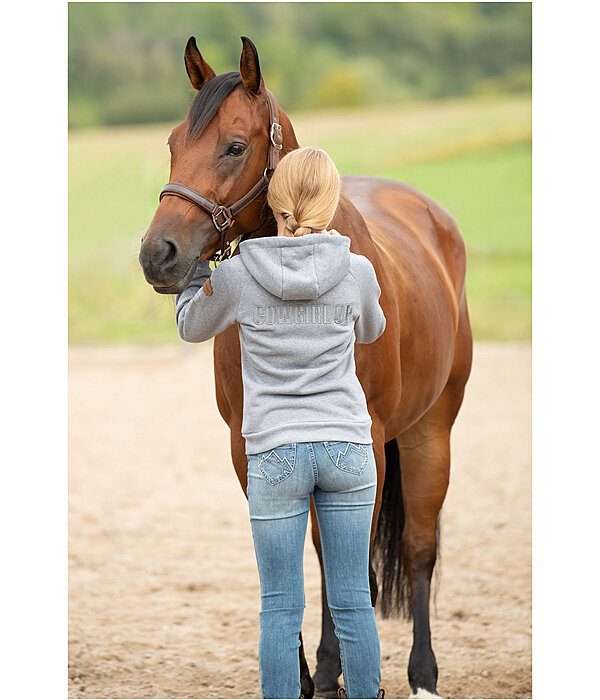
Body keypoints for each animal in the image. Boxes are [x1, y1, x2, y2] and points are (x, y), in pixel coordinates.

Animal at [139, 35, 474, 696]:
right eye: (171, 144)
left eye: (234, 146)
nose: (158, 254)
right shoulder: (249, 449)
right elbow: (290, 551)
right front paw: (303, 671)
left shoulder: (364, 444)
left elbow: (340, 554)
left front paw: (332, 668)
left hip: (430, 432)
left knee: (419, 549)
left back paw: (422, 673)